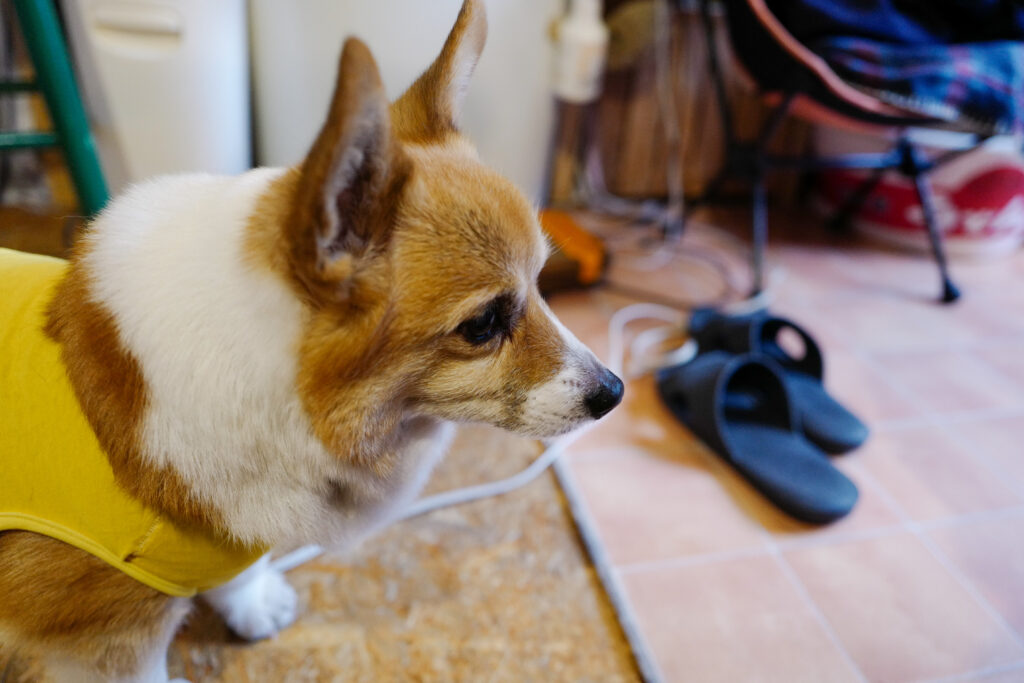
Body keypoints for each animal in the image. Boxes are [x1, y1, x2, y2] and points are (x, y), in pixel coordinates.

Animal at [0, 2, 622, 679]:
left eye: (541, 281)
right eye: (482, 325)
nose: (615, 391)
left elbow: (238, 572)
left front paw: (252, 604)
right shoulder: (102, 640)